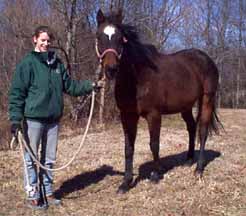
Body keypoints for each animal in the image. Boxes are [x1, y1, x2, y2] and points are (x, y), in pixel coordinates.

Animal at [95, 9, 222, 193]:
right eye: (99, 37)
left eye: (121, 38)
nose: (111, 69)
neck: (138, 77)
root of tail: (206, 59)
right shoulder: (127, 116)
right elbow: (128, 148)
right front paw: (126, 183)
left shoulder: (153, 115)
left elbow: (154, 144)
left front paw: (155, 175)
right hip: (185, 106)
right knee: (191, 127)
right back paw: (189, 159)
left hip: (207, 99)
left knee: (202, 131)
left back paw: (198, 170)